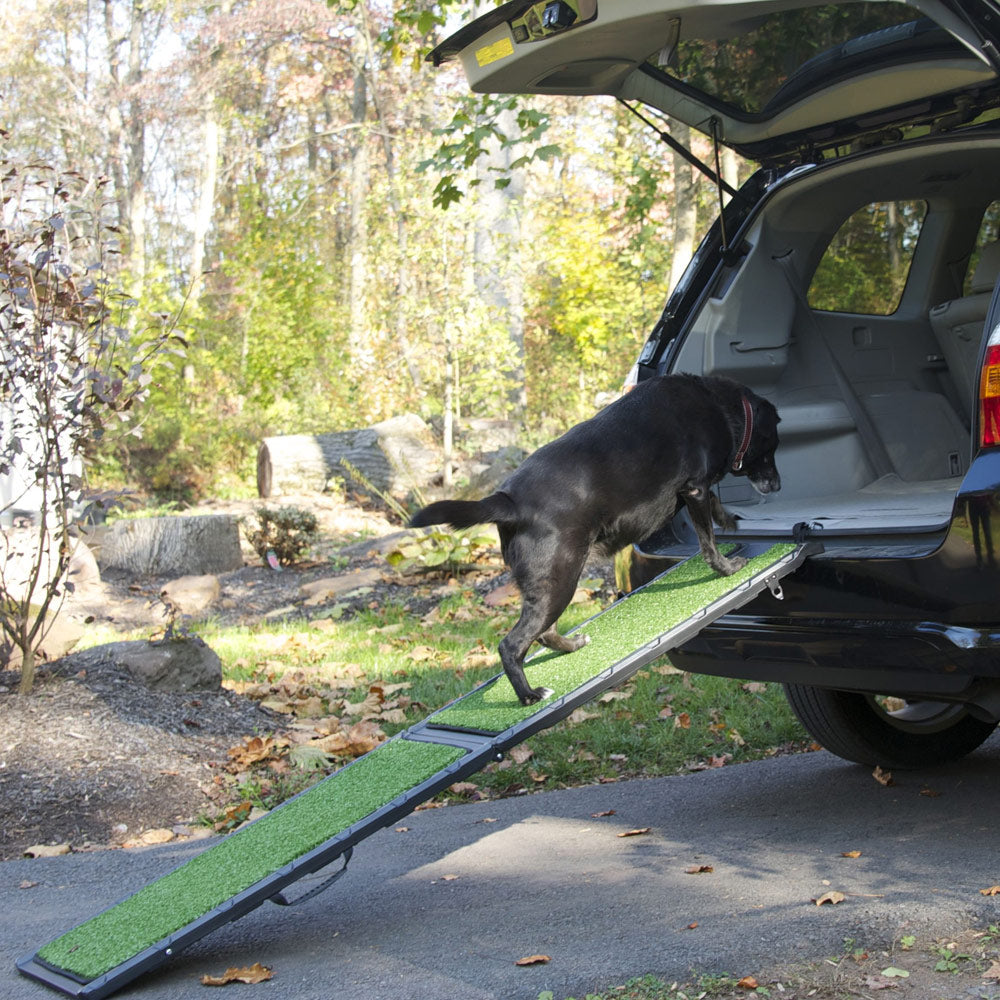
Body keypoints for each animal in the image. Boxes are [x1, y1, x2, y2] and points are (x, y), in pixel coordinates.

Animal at [408, 372, 780, 708]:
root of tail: (509, 501)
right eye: (773, 445)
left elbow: (716, 510)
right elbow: (708, 542)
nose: (777, 486)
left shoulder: (697, 492)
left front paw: (729, 519)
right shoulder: (696, 488)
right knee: (512, 645)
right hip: (559, 579)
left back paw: (572, 646)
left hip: (553, 584)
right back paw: (529, 696)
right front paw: (728, 566)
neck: (721, 405)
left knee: (544, 633)